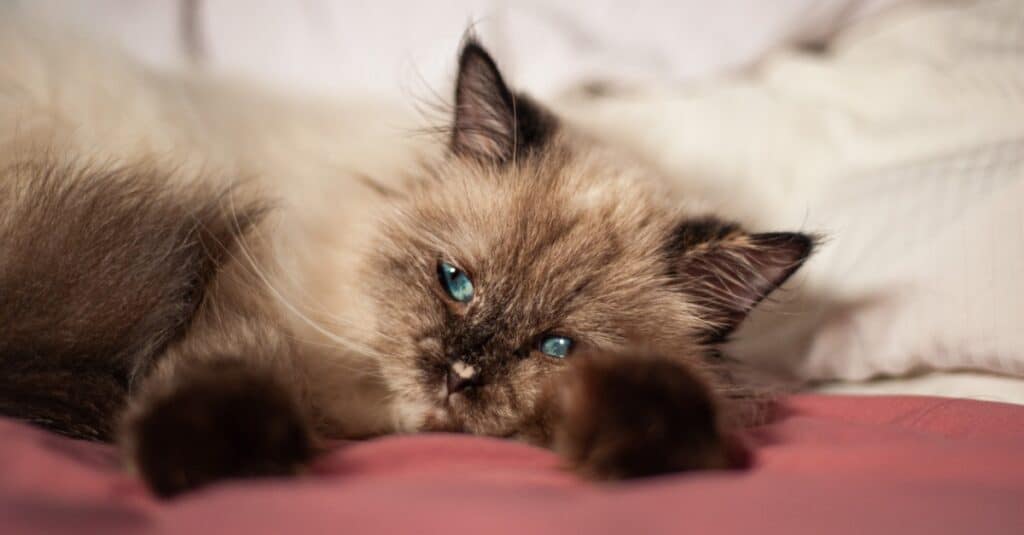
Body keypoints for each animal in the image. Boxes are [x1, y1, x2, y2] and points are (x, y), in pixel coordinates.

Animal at [0, 17, 815, 500]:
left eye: (555, 347)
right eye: (455, 282)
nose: (459, 371)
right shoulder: (249, 298)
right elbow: (229, 371)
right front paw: (204, 462)